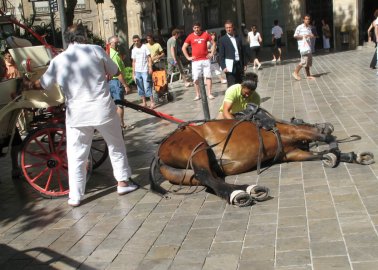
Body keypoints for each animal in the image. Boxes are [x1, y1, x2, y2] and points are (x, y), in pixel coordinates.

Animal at [149, 104, 374, 206]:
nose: (328, 124)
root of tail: (160, 149)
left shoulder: (291, 153)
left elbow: (317, 154)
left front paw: (348, 156)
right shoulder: (294, 132)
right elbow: (325, 138)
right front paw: (336, 150)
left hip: (185, 173)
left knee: (211, 181)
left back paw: (248, 189)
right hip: (198, 149)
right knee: (206, 176)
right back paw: (238, 194)